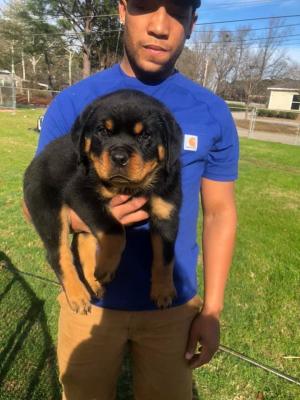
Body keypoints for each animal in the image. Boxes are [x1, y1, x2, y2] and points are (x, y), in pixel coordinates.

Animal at [23, 89, 182, 314]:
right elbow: (115, 230)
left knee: (83, 243)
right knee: (58, 254)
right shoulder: (80, 192)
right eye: (102, 132)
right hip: (48, 209)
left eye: (145, 136)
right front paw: (107, 267)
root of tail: (34, 164)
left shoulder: (166, 211)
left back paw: (93, 281)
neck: (130, 187)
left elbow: (166, 256)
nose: (119, 157)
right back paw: (78, 295)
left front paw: (163, 290)